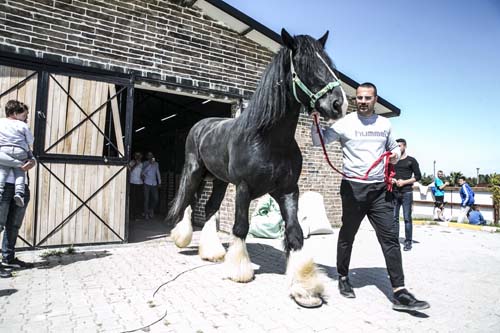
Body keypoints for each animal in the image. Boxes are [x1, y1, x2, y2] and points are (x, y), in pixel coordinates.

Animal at [168, 28, 348, 306]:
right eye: (304, 65)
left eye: (328, 62)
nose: (339, 104)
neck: (268, 139)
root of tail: (201, 125)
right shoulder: (243, 188)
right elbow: (240, 227)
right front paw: (240, 270)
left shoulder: (288, 190)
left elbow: (295, 232)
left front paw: (304, 287)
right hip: (194, 172)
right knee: (187, 200)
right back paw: (182, 238)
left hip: (220, 181)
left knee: (209, 209)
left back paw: (212, 252)